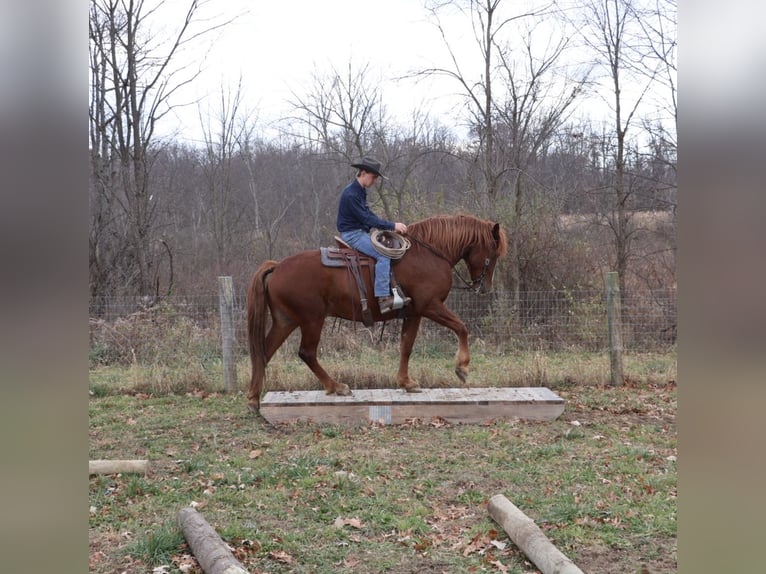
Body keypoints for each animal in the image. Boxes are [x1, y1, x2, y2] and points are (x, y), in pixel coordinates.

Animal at [246, 214, 508, 411]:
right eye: (493, 253)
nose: (484, 287)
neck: (428, 254)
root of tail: (278, 267)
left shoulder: (414, 313)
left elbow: (406, 346)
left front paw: (406, 382)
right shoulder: (430, 306)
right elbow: (461, 327)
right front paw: (462, 368)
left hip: (285, 321)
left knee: (264, 353)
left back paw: (253, 399)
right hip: (311, 320)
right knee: (306, 353)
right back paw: (336, 387)